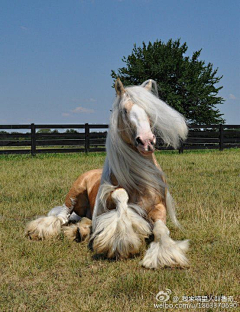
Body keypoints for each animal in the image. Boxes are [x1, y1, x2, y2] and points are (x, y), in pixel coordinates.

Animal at [25, 78, 188, 268]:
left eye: (149, 109)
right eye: (124, 110)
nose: (147, 141)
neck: (140, 181)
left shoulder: (159, 208)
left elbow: (162, 230)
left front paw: (166, 254)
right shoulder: (108, 201)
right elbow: (120, 195)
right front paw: (120, 241)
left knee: (84, 220)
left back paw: (79, 231)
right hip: (73, 196)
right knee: (61, 217)